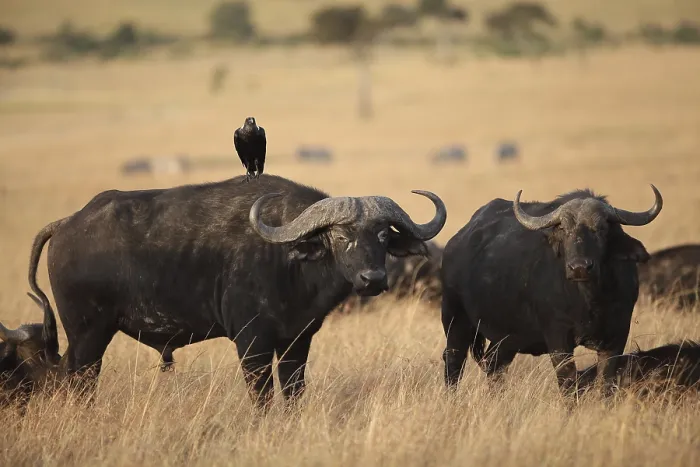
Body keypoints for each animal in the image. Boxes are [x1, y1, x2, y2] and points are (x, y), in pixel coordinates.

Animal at [20, 174, 446, 407]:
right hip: (88, 335)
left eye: (383, 234)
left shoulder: (297, 340)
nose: (373, 279)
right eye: (340, 235)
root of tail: (68, 222)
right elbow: (262, 395)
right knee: (79, 383)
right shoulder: (251, 341)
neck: (287, 261)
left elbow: (293, 391)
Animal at [441, 186, 663, 395]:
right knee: (454, 362)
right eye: (564, 228)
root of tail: (456, 242)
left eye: (600, 228)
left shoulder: (616, 335)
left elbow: (605, 383)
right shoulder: (558, 338)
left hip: (505, 337)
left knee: (495, 366)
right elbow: (568, 382)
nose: (580, 267)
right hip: (456, 320)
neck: (590, 301)